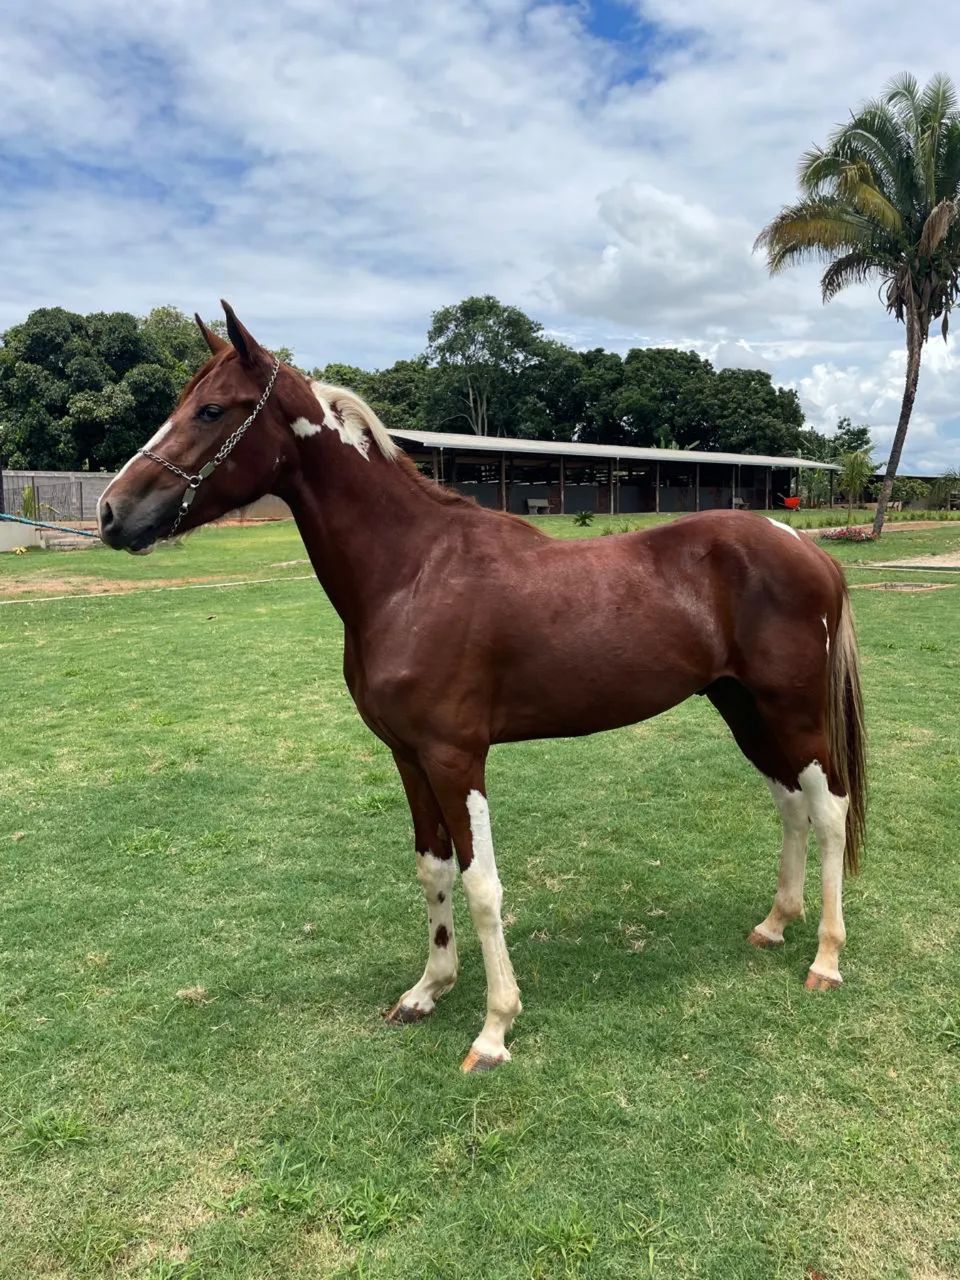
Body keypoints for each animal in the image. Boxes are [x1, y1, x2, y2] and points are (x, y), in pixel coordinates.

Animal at [97, 303, 866, 1073]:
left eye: (211, 410)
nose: (110, 512)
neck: (413, 572)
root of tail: (805, 545)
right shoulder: (408, 757)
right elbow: (433, 869)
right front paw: (427, 990)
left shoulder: (455, 756)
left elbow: (480, 884)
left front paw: (495, 1028)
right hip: (744, 709)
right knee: (789, 805)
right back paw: (774, 924)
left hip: (792, 711)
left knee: (829, 809)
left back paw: (826, 958)